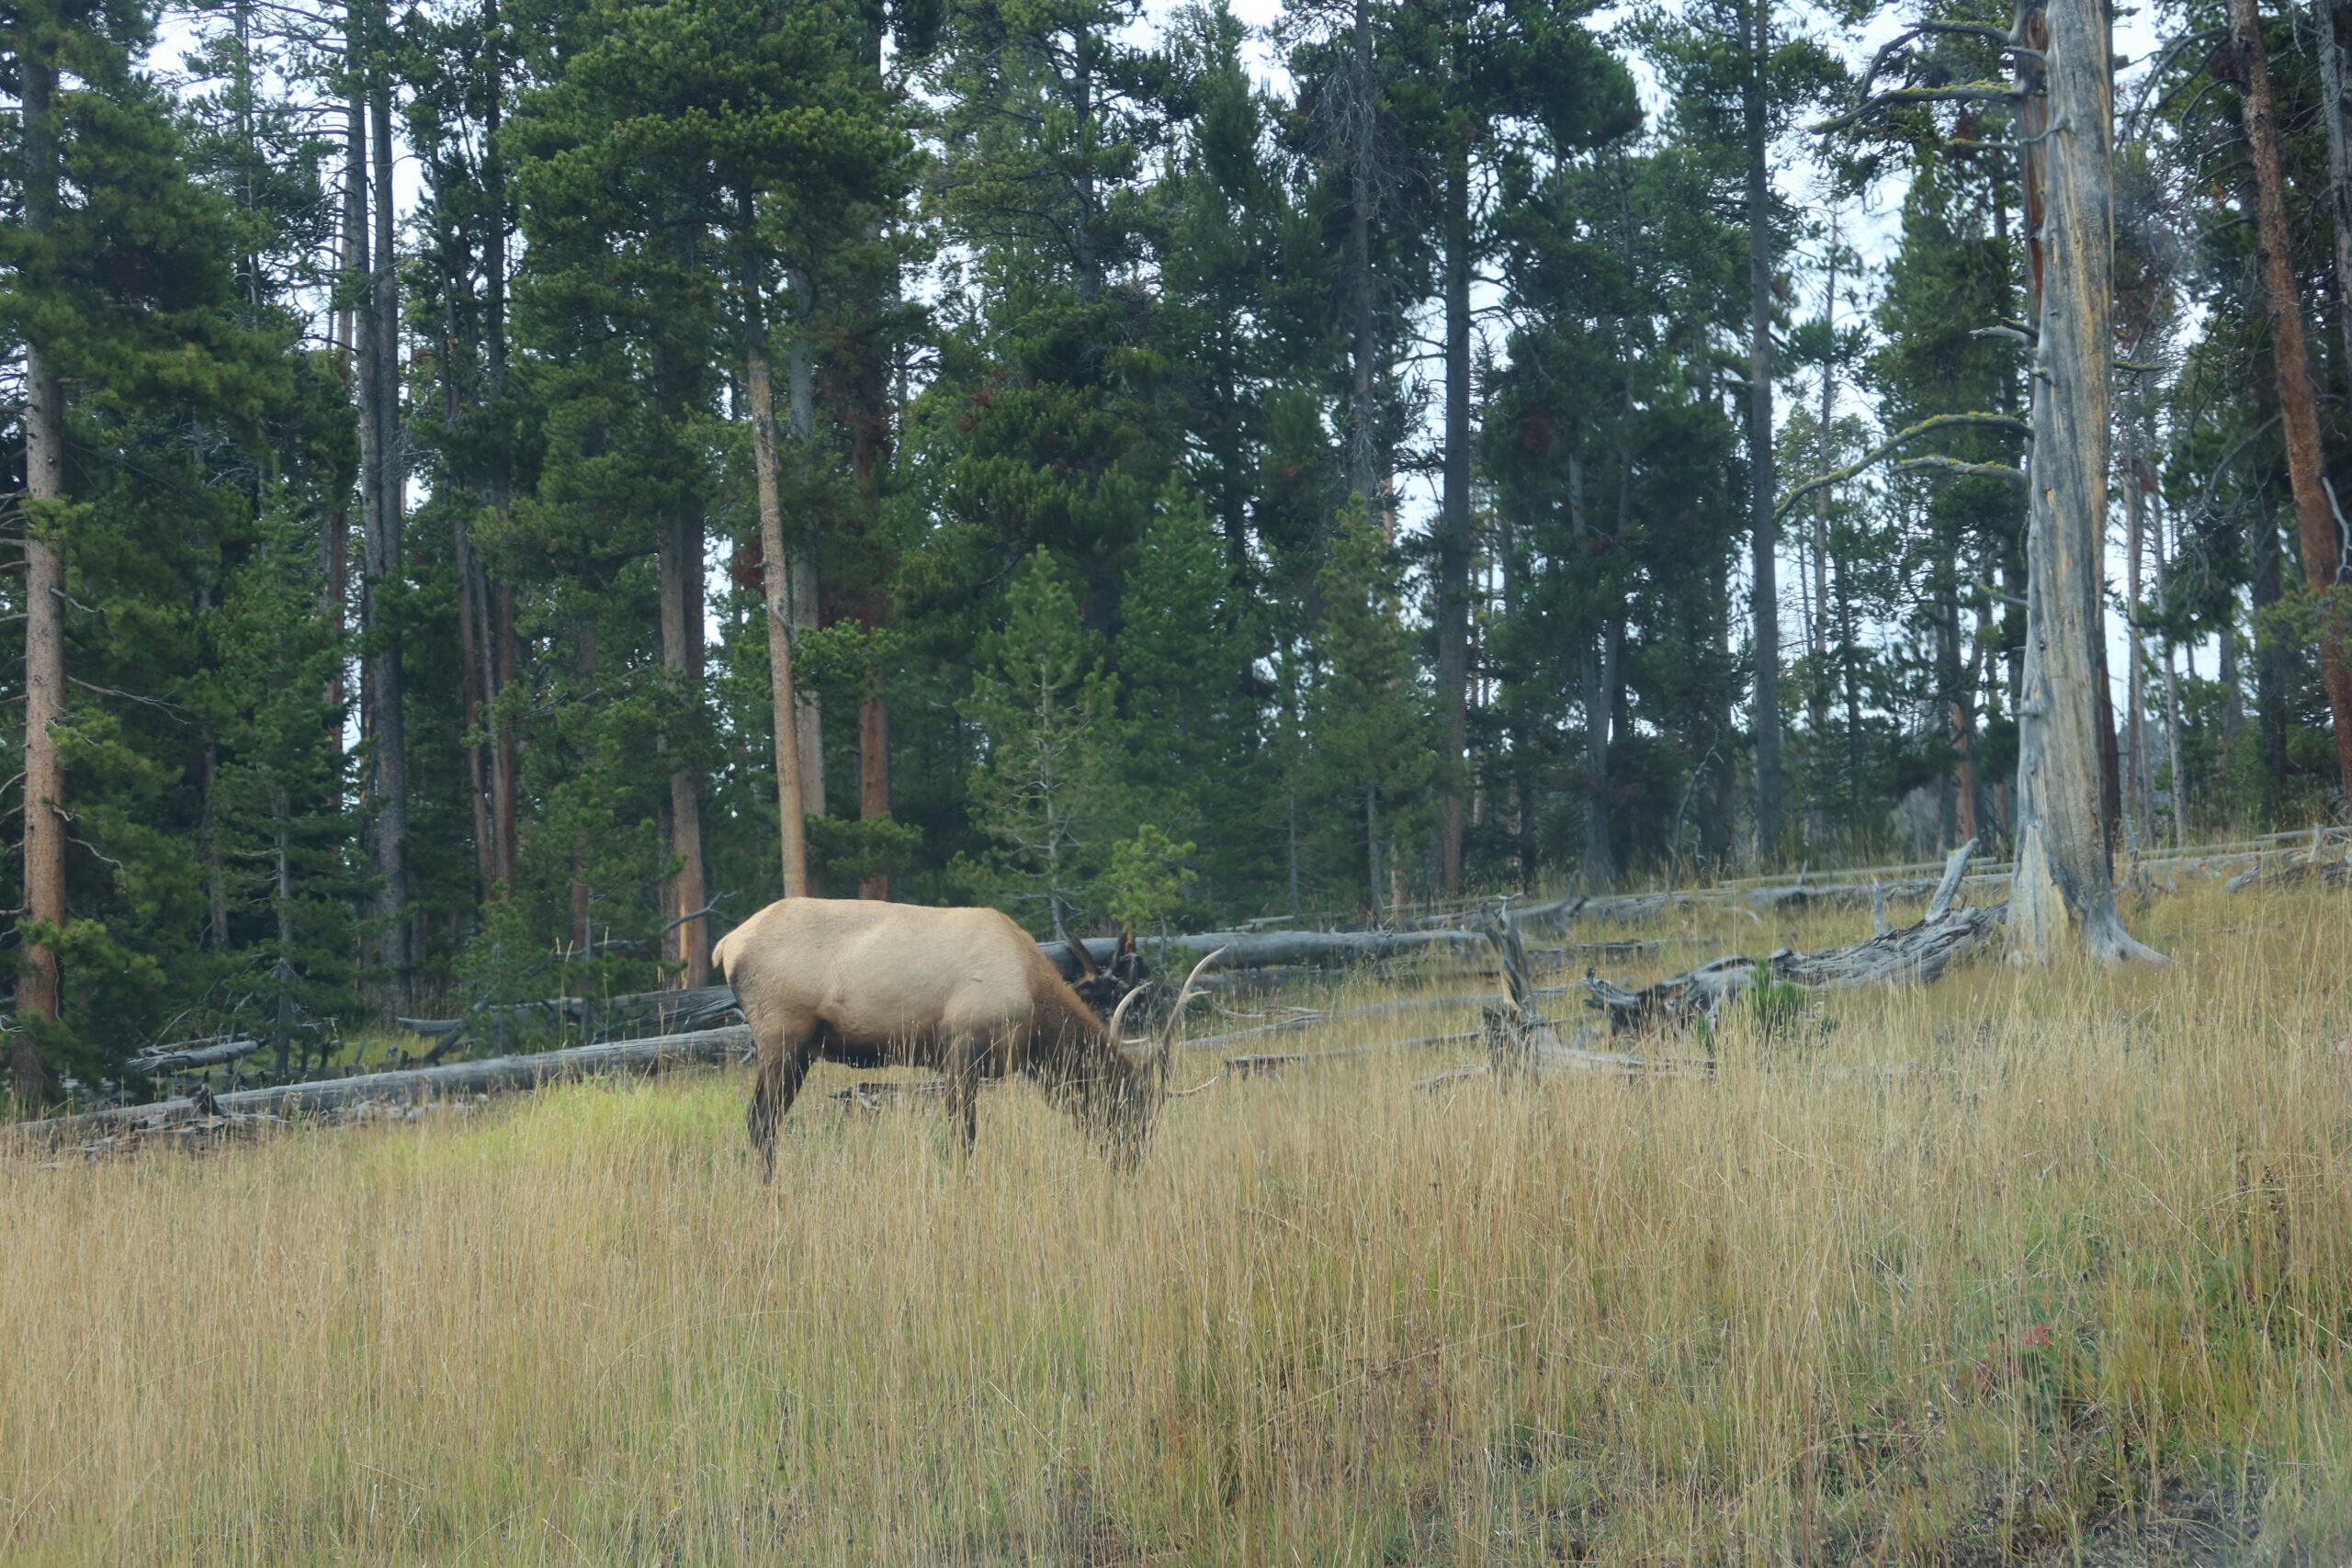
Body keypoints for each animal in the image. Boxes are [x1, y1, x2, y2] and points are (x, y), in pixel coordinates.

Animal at [711, 898, 1223, 1175]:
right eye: (1134, 1110)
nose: (1132, 1166)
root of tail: (726, 946)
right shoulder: (962, 1048)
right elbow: (964, 1137)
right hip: (783, 1037)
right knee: (761, 1121)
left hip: (796, 1049)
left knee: (764, 1121)